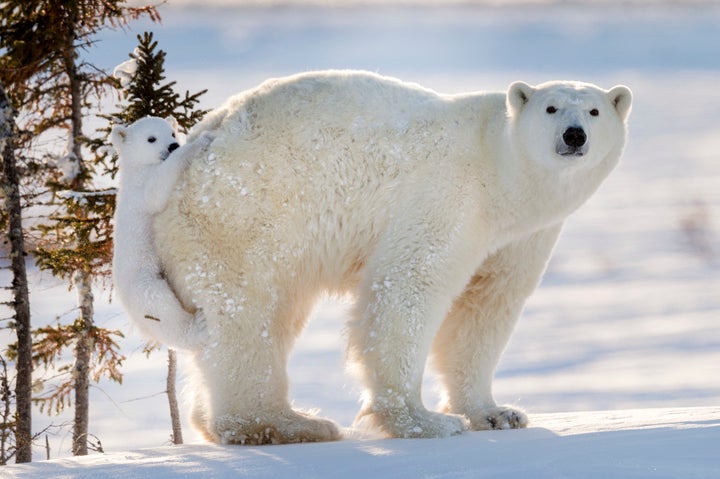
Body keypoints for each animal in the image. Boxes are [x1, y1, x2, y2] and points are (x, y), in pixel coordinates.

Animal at [156, 69, 632, 444]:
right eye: (551, 108)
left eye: (594, 111)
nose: (574, 135)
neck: (502, 172)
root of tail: (197, 142)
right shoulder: (447, 195)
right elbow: (409, 286)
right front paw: (424, 421)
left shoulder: (521, 236)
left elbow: (485, 308)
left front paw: (497, 413)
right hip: (244, 215)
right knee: (249, 316)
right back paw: (288, 424)